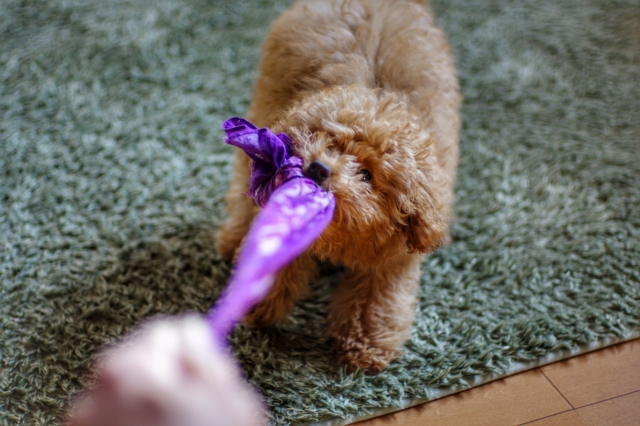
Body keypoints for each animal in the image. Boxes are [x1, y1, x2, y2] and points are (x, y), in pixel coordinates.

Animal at [215, 0, 460, 372]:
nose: (318, 168)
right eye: (326, 140)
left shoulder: (395, 256)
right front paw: (255, 304)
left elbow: (375, 300)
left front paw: (365, 345)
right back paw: (232, 240)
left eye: (367, 175)